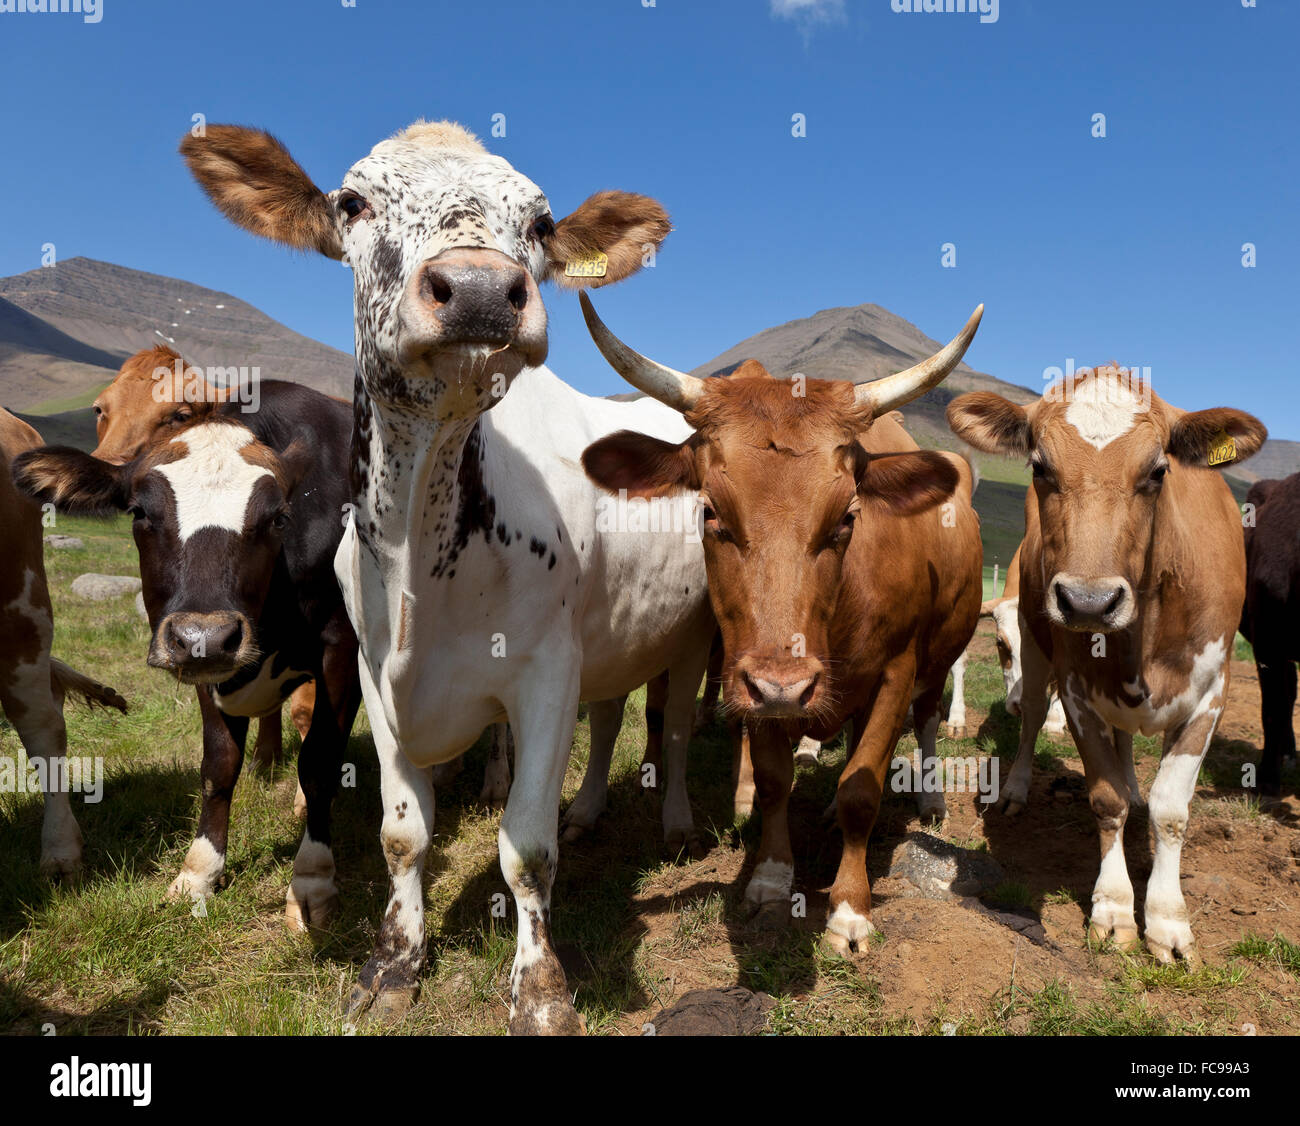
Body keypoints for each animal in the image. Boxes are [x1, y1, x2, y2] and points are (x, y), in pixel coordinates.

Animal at [582, 296, 982, 946]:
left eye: (848, 517)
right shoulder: (753, 673)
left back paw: (928, 802)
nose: (785, 686)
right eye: (710, 512)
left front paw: (849, 908)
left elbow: (863, 787)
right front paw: (771, 878)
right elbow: (774, 781)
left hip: (938, 655)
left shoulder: (895, 671)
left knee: (923, 720)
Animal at [946, 364, 1268, 962]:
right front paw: (1115, 908)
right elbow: (1104, 797)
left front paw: (1167, 920)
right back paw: (1017, 789)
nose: (1089, 602)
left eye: (1159, 470)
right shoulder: (1076, 691)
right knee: (1031, 717)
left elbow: (1171, 809)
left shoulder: (1211, 695)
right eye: (1040, 466)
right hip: (1036, 648)